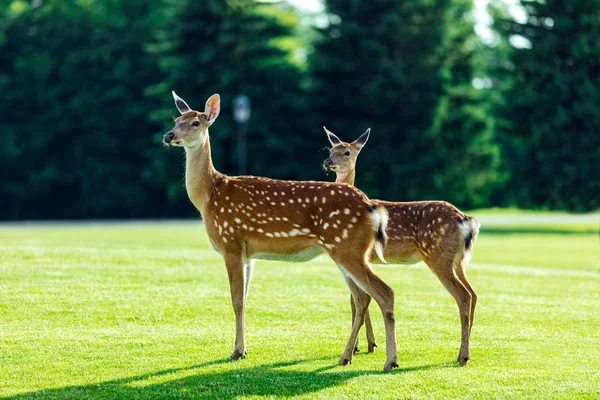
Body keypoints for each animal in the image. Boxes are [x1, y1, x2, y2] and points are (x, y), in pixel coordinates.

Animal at [162, 91, 400, 372]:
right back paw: (351, 356)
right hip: (349, 250)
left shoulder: (230, 240)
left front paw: (237, 351)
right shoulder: (248, 253)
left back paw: (387, 361)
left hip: (347, 247)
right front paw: (244, 349)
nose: (169, 135)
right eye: (176, 119)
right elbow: (244, 299)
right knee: (364, 297)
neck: (208, 195)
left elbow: (235, 300)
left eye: (196, 122)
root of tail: (371, 206)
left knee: (382, 293)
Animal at [322, 127, 480, 366]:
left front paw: (359, 347)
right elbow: (359, 300)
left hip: (438, 256)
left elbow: (357, 301)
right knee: (473, 293)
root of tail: (466, 220)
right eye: (331, 149)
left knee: (463, 296)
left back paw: (463, 356)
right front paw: (368, 344)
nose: (328, 162)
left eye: (347, 152)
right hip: (458, 260)